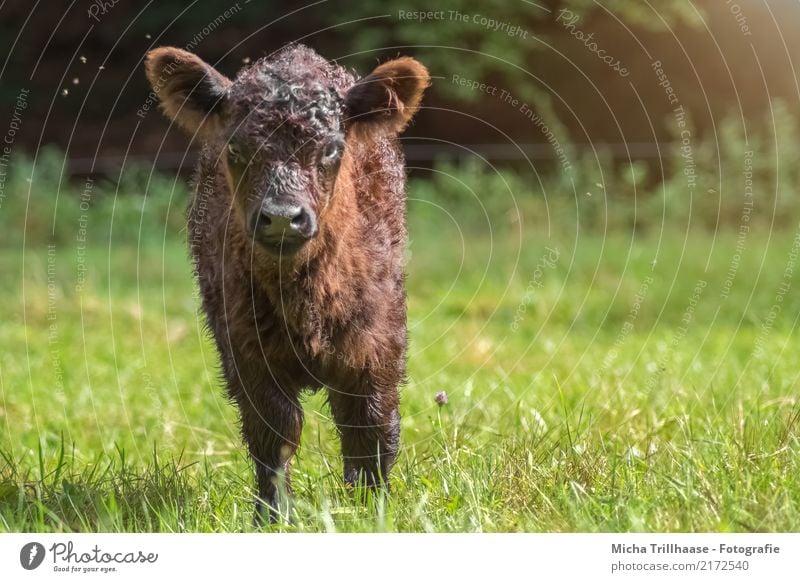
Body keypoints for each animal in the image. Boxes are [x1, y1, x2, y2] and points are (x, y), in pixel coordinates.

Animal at [146, 43, 428, 524]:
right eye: (236, 147)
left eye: (332, 149)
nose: (281, 216)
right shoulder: (246, 353)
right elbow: (274, 432)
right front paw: (272, 515)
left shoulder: (376, 346)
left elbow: (370, 425)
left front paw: (371, 508)